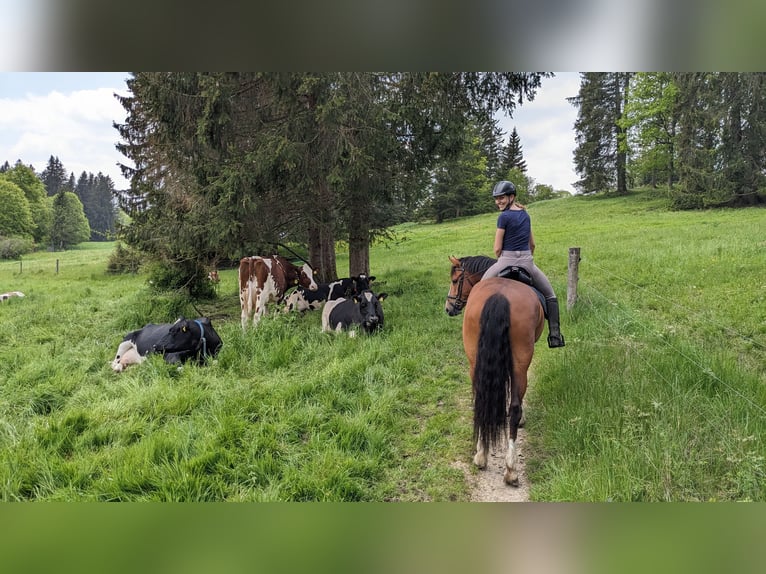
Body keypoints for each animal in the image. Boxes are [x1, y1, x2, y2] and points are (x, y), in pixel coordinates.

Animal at [448, 256, 548, 486]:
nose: (448, 308)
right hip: (520, 362)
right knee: (515, 407)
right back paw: (511, 470)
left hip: (474, 361)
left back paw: (481, 455)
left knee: (480, 401)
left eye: (455, 280)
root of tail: (500, 295)